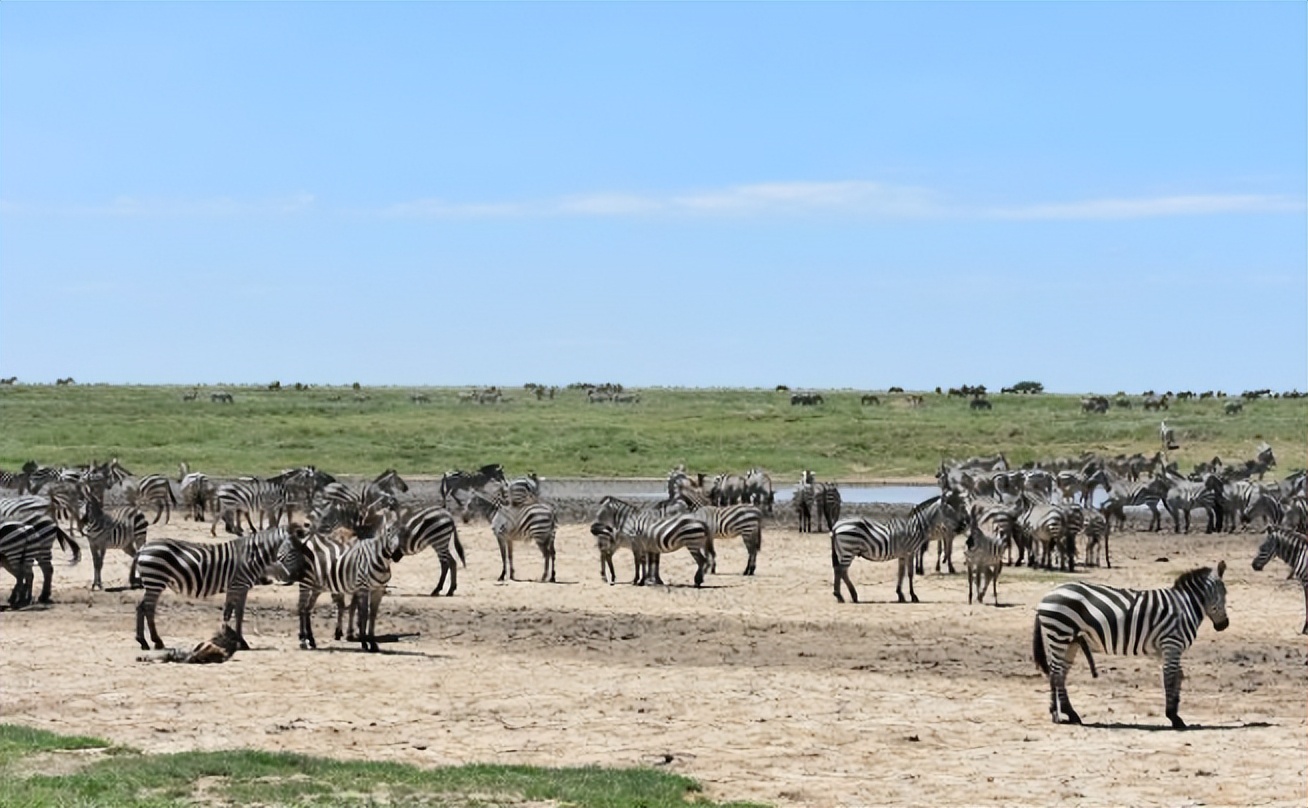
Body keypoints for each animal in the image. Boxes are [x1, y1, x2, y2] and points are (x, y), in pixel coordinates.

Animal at [132, 522, 308, 648]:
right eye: (293, 551)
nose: (299, 575)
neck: (252, 556)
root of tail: (143, 548)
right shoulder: (238, 585)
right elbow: (231, 612)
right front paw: (233, 639)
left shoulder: (240, 587)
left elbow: (236, 613)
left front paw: (237, 639)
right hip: (155, 581)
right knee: (148, 608)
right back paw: (157, 641)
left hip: (154, 582)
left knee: (141, 607)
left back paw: (143, 641)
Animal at [826, 494, 973, 601]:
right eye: (949, 510)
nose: (963, 524)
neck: (916, 527)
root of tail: (836, 526)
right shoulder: (910, 552)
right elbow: (910, 574)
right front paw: (913, 596)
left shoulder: (902, 554)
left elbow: (901, 573)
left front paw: (900, 595)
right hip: (848, 550)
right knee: (841, 571)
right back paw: (847, 595)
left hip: (843, 552)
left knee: (839, 570)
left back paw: (842, 595)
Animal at [1030, 562, 1224, 726]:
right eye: (1222, 595)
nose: (1224, 625)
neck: (1185, 606)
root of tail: (1046, 597)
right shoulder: (1172, 643)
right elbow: (1170, 678)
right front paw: (1173, 717)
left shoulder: (1166, 648)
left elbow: (1178, 676)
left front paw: (1175, 714)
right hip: (1059, 633)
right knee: (1055, 674)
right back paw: (1057, 714)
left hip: (1070, 641)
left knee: (1060, 674)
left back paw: (1069, 714)